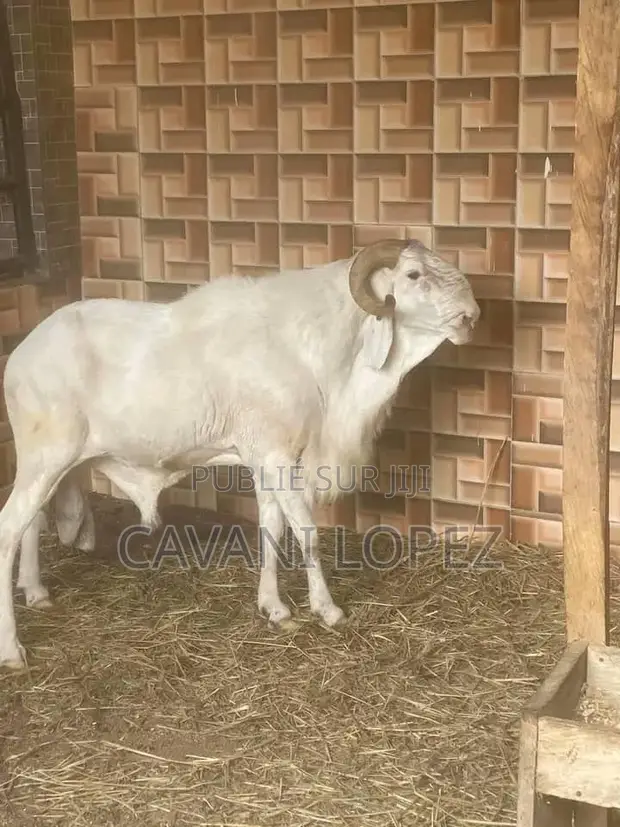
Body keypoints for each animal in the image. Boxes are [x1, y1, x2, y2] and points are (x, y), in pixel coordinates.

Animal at [0, 238, 480, 670]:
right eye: (414, 275)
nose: (471, 316)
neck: (308, 348)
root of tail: (20, 357)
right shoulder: (279, 458)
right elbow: (305, 530)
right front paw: (327, 610)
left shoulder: (263, 459)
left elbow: (272, 528)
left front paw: (276, 609)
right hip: (47, 457)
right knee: (9, 529)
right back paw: (13, 651)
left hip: (50, 464)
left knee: (32, 523)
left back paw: (37, 593)